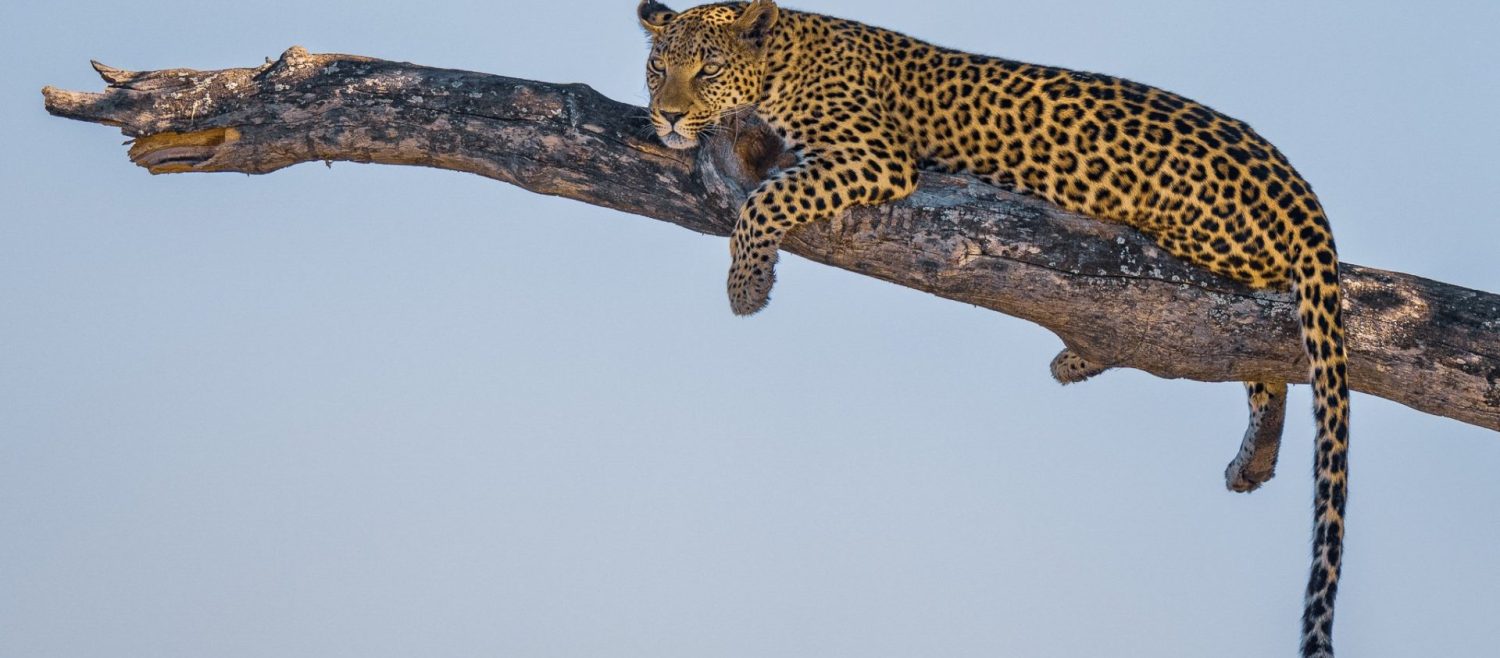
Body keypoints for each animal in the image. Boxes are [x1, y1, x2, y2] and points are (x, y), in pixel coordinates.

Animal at [637, 2, 1350, 656]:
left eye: (707, 69)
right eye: (657, 67)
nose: (666, 115)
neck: (784, 57)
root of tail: (1300, 190)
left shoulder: (877, 157)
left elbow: (766, 197)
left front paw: (746, 286)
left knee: (1243, 314)